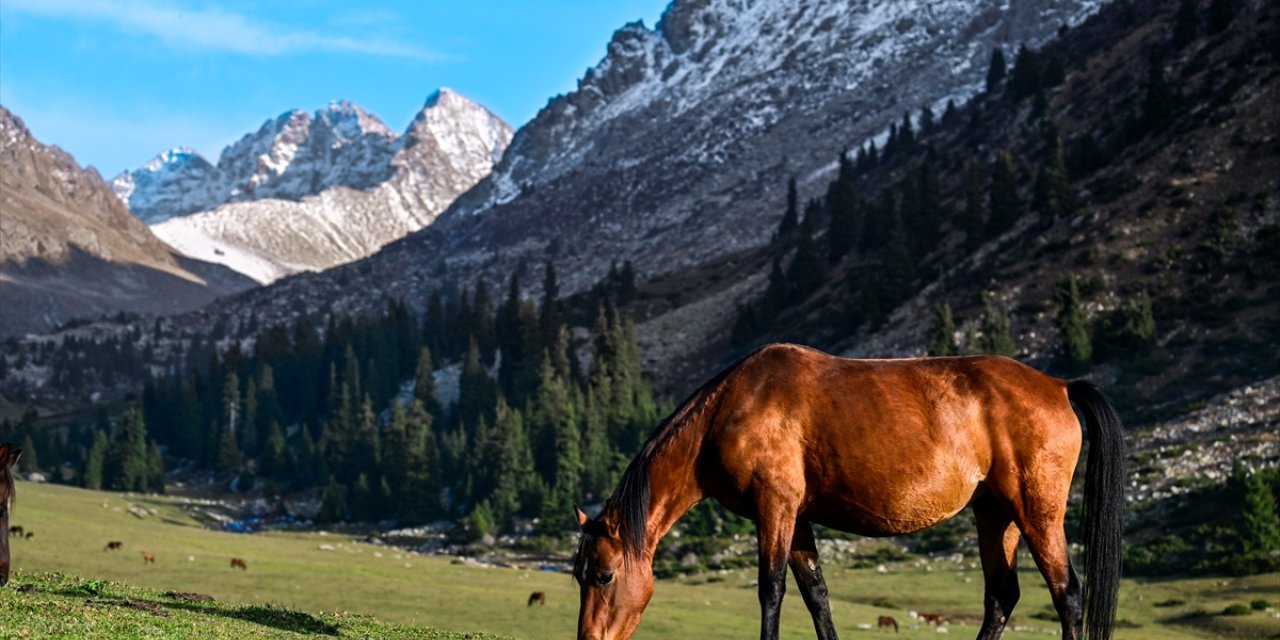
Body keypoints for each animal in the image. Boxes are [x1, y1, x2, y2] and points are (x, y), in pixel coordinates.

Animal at [570, 345, 1121, 640]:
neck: (729, 409)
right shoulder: (797, 517)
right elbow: (817, 595)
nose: (588, 639)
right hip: (995, 514)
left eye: (602, 575)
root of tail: (1059, 385)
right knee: (1003, 596)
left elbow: (771, 589)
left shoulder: (775, 507)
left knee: (1066, 592)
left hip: (1036, 511)